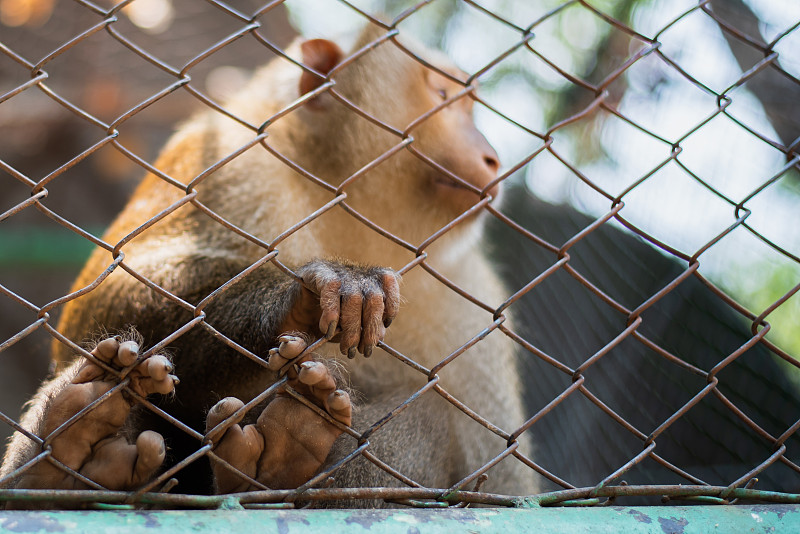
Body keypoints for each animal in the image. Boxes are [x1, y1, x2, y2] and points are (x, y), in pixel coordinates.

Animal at [1, 25, 536, 508]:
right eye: (443, 94)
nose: (492, 157)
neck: (354, 214)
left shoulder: (471, 301)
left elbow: (500, 487)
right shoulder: (227, 158)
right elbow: (95, 303)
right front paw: (303, 298)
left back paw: (282, 453)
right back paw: (68, 454)